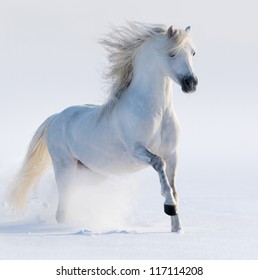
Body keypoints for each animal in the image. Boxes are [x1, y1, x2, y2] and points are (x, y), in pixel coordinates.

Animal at [9, 22, 198, 232]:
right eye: (171, 53)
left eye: (193, 53)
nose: (191, 83)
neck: (158, 113)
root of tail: (55, 118)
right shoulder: (136, 151)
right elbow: (160, 166)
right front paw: (169, 207)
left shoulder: (172, 154)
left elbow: (174, 187)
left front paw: (177, 228)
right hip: (65, 167)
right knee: (62, 209)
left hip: (90, 173)